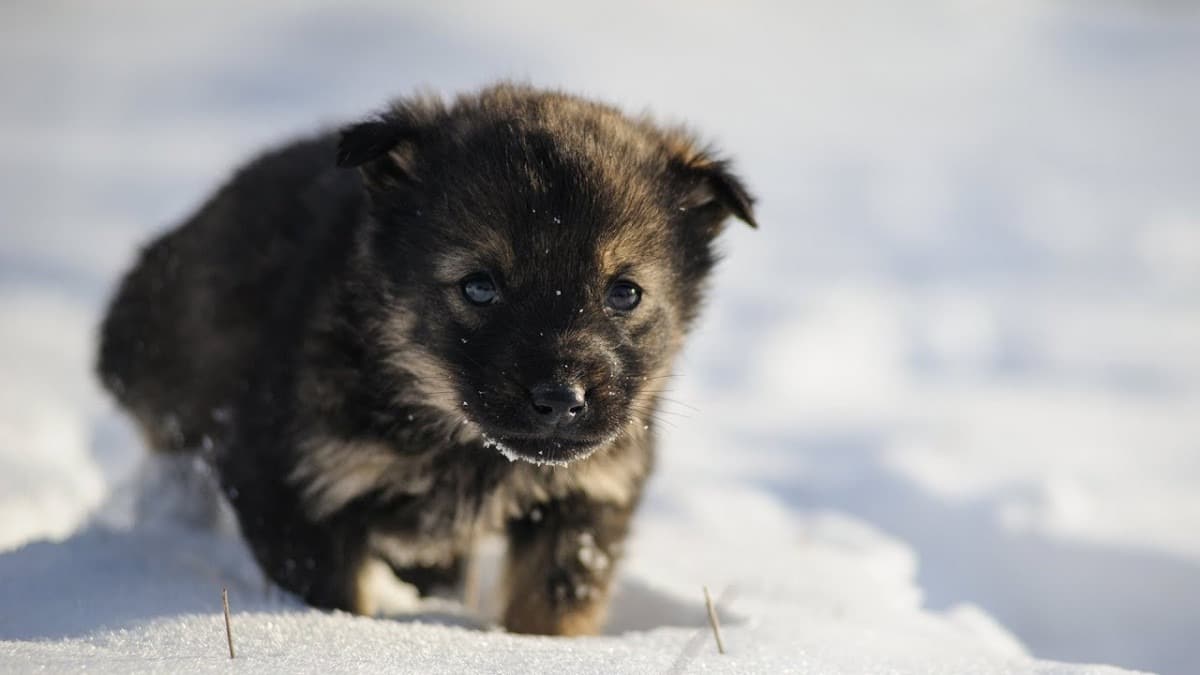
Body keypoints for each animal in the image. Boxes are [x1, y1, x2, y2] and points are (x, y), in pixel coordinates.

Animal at [98, 82, 753, 629]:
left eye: (625, 292)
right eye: (479, 286)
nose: (562, 399)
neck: (459, 443)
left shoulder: (587, 500)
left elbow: (552, 612)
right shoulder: (293, 487)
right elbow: (337, 602)